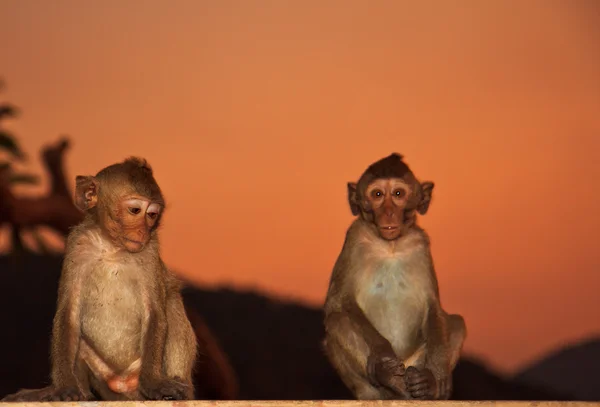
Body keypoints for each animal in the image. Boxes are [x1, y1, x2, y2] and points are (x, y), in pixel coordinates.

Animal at [1, 158, 197, 404]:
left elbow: (155, 312)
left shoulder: (149, 252)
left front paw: (154, 384)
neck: (111, 247)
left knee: (171, 303)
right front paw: (64, 387)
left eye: (151, 215)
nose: (143, 231)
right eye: (135, 210)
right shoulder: (77, 246)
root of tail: (124, 387)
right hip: (104, 381)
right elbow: (69, 313)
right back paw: (80, 393)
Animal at [322, 153, 466, 402]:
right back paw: (388, 378)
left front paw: (435, 378)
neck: (391, 246)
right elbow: (337, 302)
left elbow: (433, 307)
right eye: (377, 195)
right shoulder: (354, 238)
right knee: (337, 321)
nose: (388, 212)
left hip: (414, 361)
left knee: (456, 324)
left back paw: (423, 387)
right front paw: (382, 356)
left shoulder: (420, 245)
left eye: (398, 194)